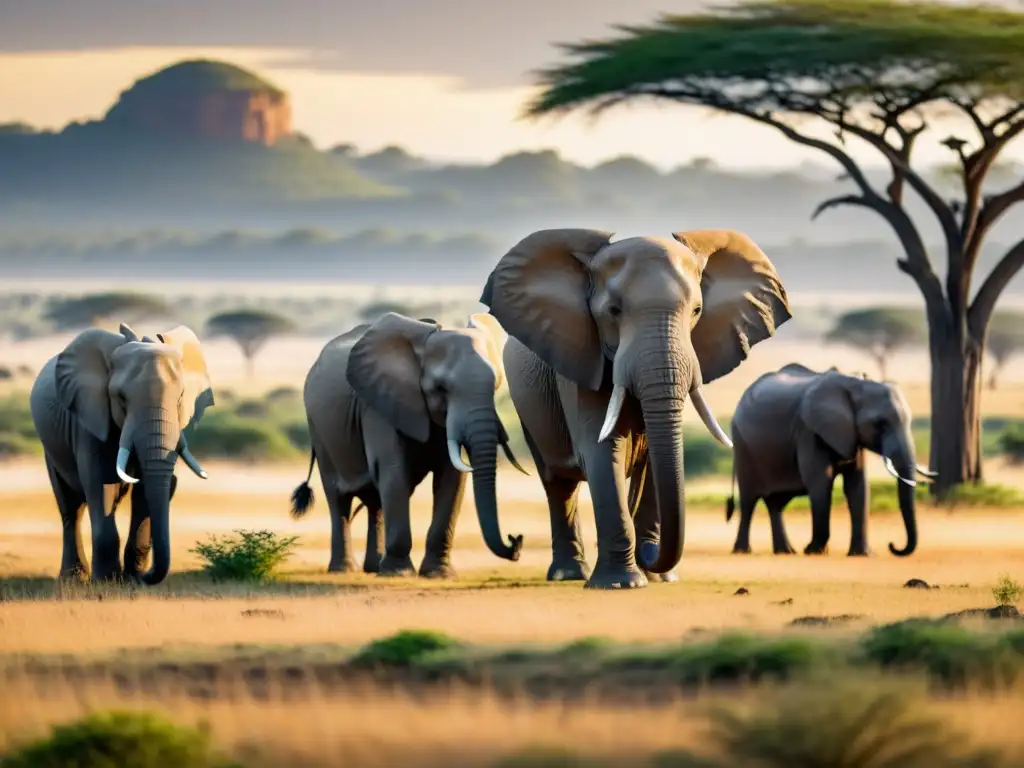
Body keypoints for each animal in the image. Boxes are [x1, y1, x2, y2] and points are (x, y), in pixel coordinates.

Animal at [30, 323, 214, 581]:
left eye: (180, 397)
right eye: (121, 398)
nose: (144, 576)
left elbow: (145, 489)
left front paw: (131, 580)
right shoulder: (89, 418)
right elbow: (99, 483)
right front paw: (106, 582)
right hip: (51, 446)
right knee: (70, 505)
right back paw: (73, 579)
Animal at [290, 313, 524, 577]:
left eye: (496, 386)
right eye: (441, 388)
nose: (515, 541)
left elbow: (452, 478)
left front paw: (438, 574)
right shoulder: (377, 405)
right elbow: (393, 470)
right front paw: (399, 573)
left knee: (375, 502)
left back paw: (374, 568)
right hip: (319, 430)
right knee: (338, 498)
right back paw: (344, 570)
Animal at [479, 228, 790, 589]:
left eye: (697, 310)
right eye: (613, 311)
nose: (649, 556)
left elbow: (658, 458)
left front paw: (660, 577)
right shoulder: (582, 361)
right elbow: (602, 450)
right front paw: (620, 583)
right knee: (558, 483)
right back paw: (569, 574)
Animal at [720, 366, 937, 561]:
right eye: (879, 424)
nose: (892, 546)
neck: (855, 383)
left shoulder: (852, 435)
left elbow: (857, 486)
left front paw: (862, 555)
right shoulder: (809, 431)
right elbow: (820, 482)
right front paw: (813, 551)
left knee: (776, 502)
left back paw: (785, 552)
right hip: (743, 446)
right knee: (748, 500)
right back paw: (743, 551)